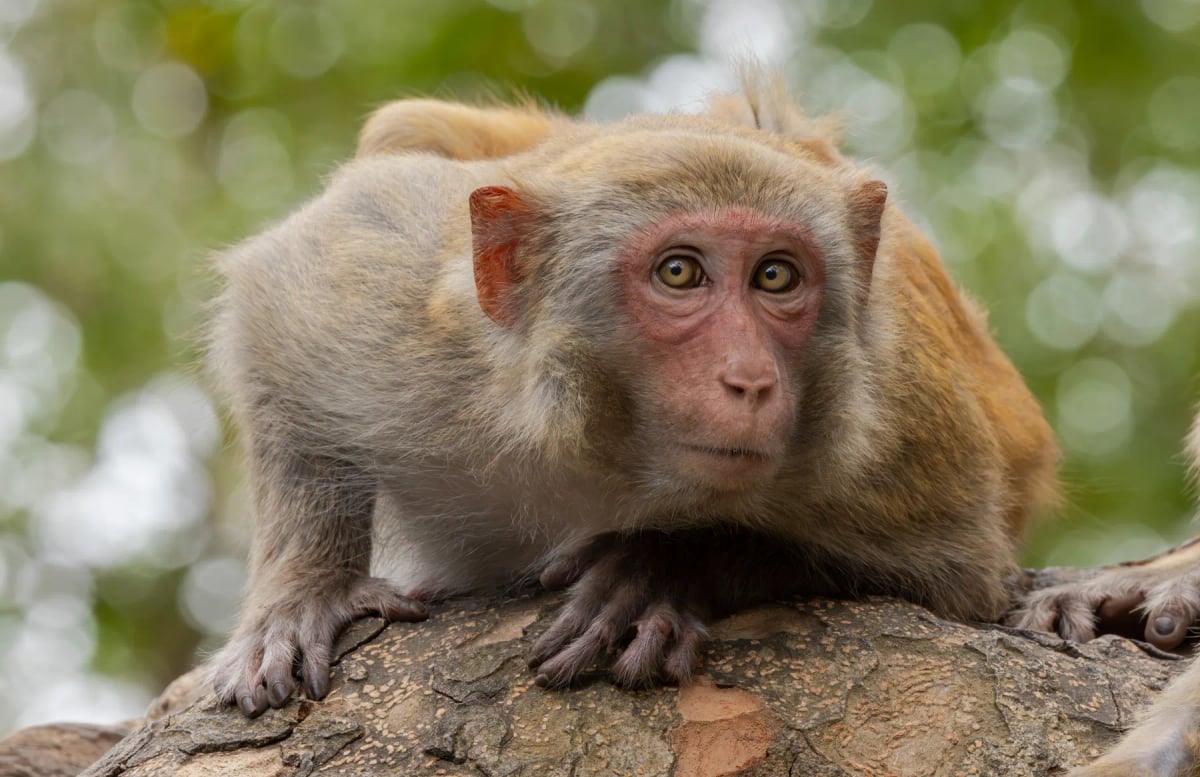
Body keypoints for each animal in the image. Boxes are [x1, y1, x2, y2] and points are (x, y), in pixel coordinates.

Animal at [205, 71, 1060, 721]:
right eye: (679, 272)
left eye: (776, 275)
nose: (750, 378)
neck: (606, 446)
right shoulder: (404, 309)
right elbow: (279, 304)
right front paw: (308, 587)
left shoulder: (897, 429)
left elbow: (959, 572)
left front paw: (661, 566)